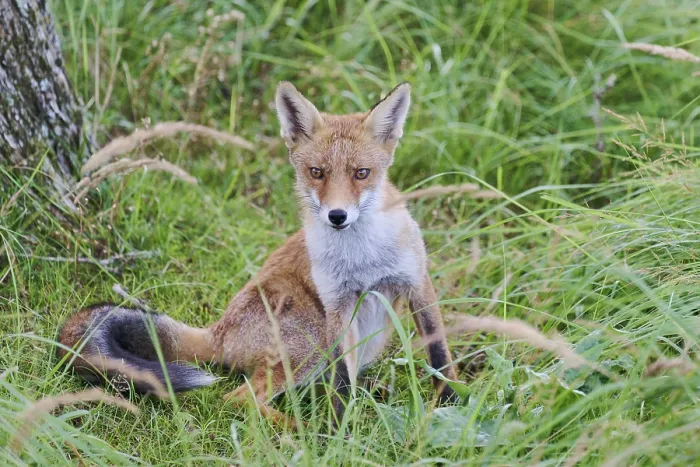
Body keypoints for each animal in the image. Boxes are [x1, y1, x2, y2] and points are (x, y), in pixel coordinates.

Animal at [57, 82, 458, 428]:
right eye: (316, 172)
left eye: (362, 173)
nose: (337, 216)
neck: (364, 259)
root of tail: (218, 333)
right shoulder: (337, 304)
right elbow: (342, 384)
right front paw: (340, 431)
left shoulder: (417, 281)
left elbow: (440, 357)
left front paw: (452, 405)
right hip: (312, 338)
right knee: (239, 400)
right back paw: (301, 431)